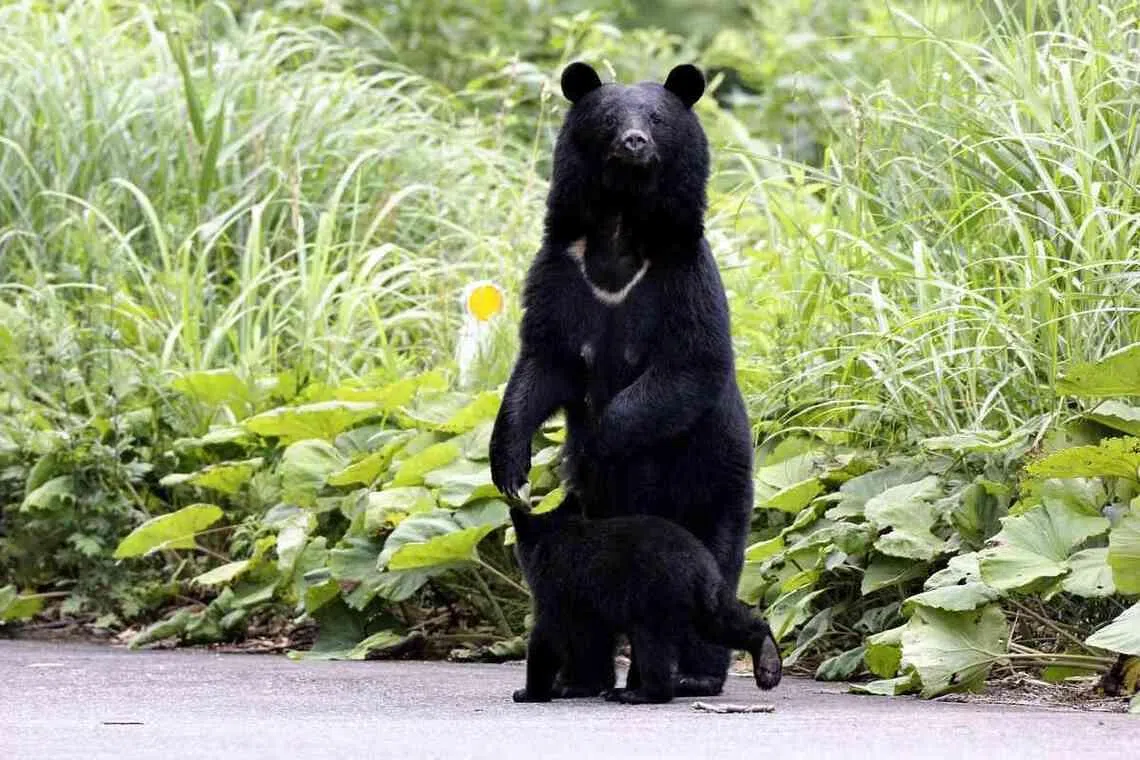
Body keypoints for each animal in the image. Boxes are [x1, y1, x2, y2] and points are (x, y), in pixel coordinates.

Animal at [489, 61, 755, 699]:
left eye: (656, 118)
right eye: (610, 118)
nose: (634, 143)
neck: (620, 229)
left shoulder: (683, 274)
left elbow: (689, 365)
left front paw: (584, 450)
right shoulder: (560, 271)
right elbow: (544, 361)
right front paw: (512, 464)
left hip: (713, 480)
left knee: (716, 566)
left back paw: (692, 676)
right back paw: (583, 680)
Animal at [508, 505, 782, 704]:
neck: (553, 536)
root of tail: (696, 564)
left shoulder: (555, 588)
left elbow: (548, 634)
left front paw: (530, 692)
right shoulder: (587, 606)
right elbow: (589, 639)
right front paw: (577, 686)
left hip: (654, 600)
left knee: (652, 647)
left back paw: (637, 694)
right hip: (707, 596)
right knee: (722, 623)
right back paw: (768, 660)